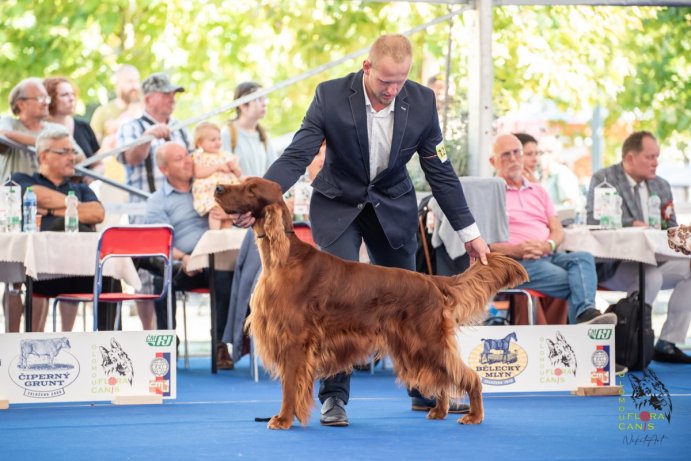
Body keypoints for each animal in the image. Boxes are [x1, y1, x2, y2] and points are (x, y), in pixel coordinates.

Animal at [216, 178, 528, 430]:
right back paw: (439, 411)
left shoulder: (295, 341)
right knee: (441, 378)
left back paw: (473, 416)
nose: (218, 188)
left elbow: (290, 387)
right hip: (413, 347)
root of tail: (432, 281)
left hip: (427, 341)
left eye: (251, 188)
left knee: (470, 376)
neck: (283, 258)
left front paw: (283, 419)